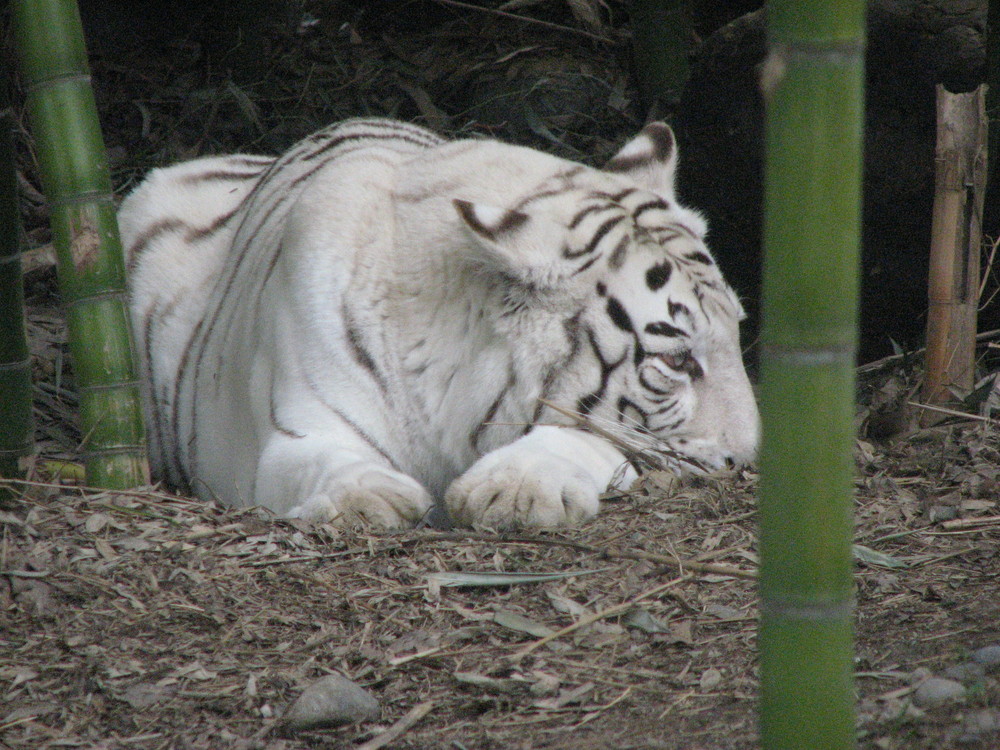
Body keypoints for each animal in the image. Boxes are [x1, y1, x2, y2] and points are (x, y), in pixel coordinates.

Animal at [119, 117, 756, 528]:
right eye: (678, 359)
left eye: (737, 332)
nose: (750, 459)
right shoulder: (293, 434)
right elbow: (324, 464)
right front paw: (366, 498)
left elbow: (587, 434)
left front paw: (517, 487)